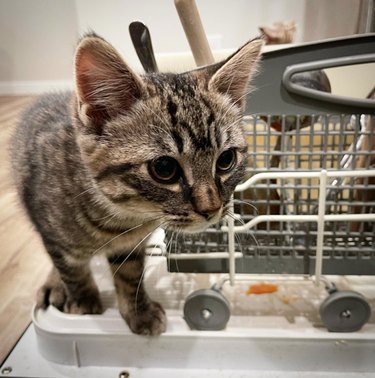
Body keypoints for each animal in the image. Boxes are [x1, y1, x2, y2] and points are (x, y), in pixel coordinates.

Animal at [12, 31, 264, 334]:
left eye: (226, 159)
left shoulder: (130, 245)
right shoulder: (52, 233)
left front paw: (137, 310)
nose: (211, 209)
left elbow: (130, 275)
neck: (121, 217)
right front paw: (84, 301)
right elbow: (72, 270)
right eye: (164, 168)